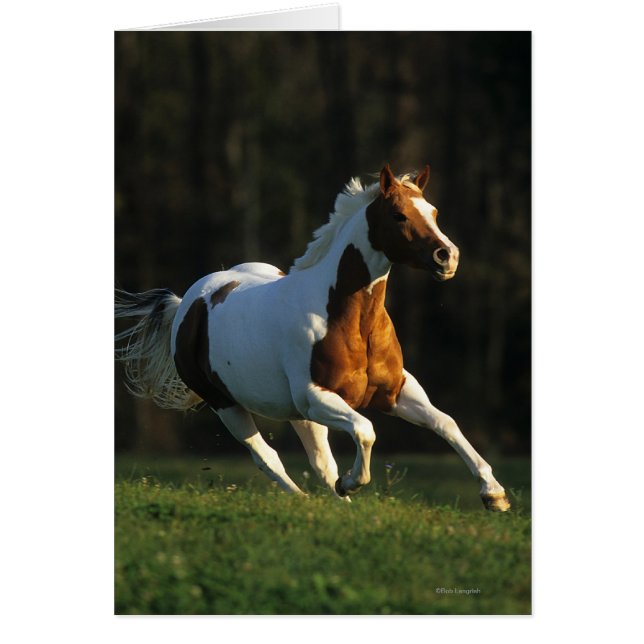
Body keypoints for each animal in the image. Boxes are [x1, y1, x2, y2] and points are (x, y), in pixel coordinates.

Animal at [115, 164, 510, 511]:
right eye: (399, 215)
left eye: (434, 211)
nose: (447, 256)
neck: (350, 321)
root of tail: (188, 302)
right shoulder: (317, 397)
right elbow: (365, 430)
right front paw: (351, 483)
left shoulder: (395, 390)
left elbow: (445, 423)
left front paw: (494, 494)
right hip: (228, 405)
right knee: (268, 458)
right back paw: (309, 500)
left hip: (295, 413)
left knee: (320, 462)